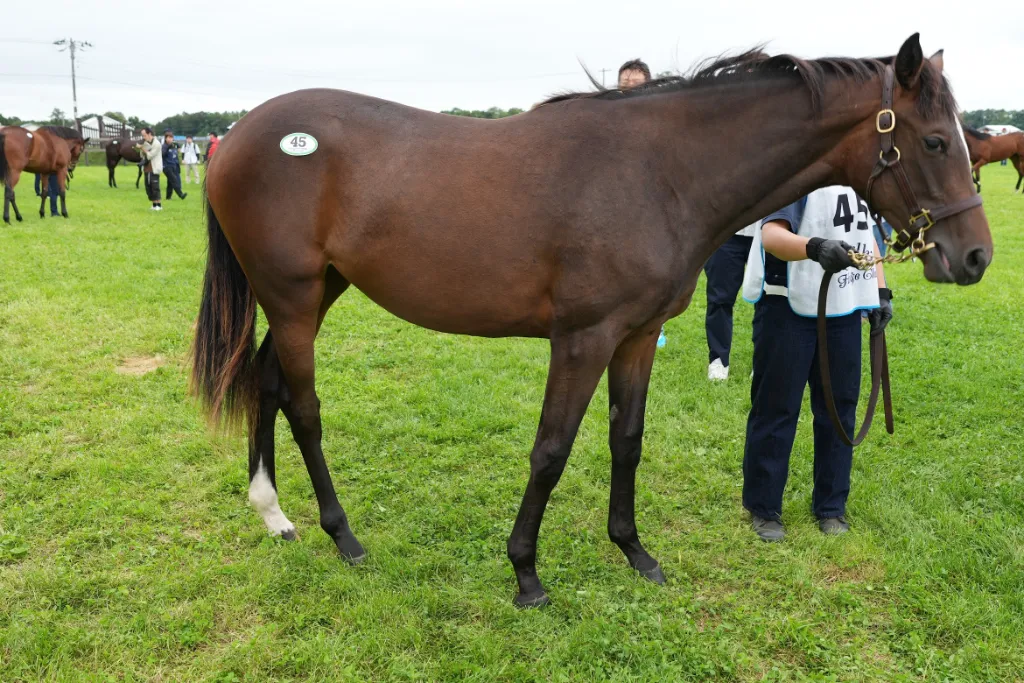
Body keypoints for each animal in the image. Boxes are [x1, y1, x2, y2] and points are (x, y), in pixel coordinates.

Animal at [191, 34, 991, 608]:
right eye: (934, 141)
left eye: (965, 139)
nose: (975, 255)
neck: (659, 172)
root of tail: (241, 134)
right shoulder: (583, 340)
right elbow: (550, 451)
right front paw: (525, 575)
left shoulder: (635, 338)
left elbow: (625, 442)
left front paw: (634, 551)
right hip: (292, 297)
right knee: (302, 405)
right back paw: (344, 535)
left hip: (317, 291)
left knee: (264, 383)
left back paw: (274, 514)